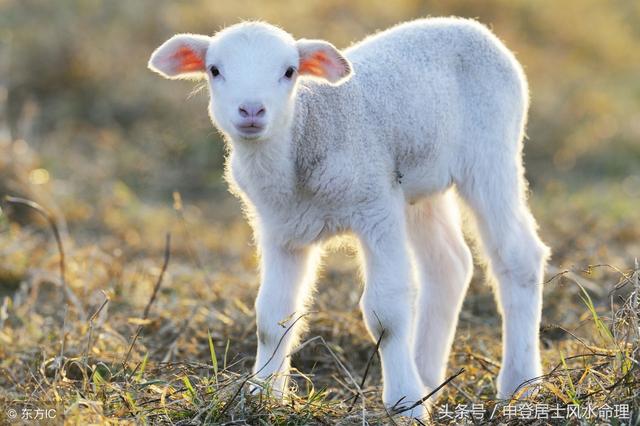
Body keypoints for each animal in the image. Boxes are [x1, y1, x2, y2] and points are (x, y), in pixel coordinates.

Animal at [149, 18, 552, 418]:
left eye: (289, 71)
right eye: (215, 70)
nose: (251, 111)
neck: (305, 135)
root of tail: (471, 26)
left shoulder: (376, 207)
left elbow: (386, 313)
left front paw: (405, 403)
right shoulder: (280, 229)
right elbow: (271, 317)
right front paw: (262, 395)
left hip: (491, 154)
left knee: (519, 257)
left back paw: (519, 385)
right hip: (419, 186)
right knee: (449, 266)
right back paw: (427, 379)